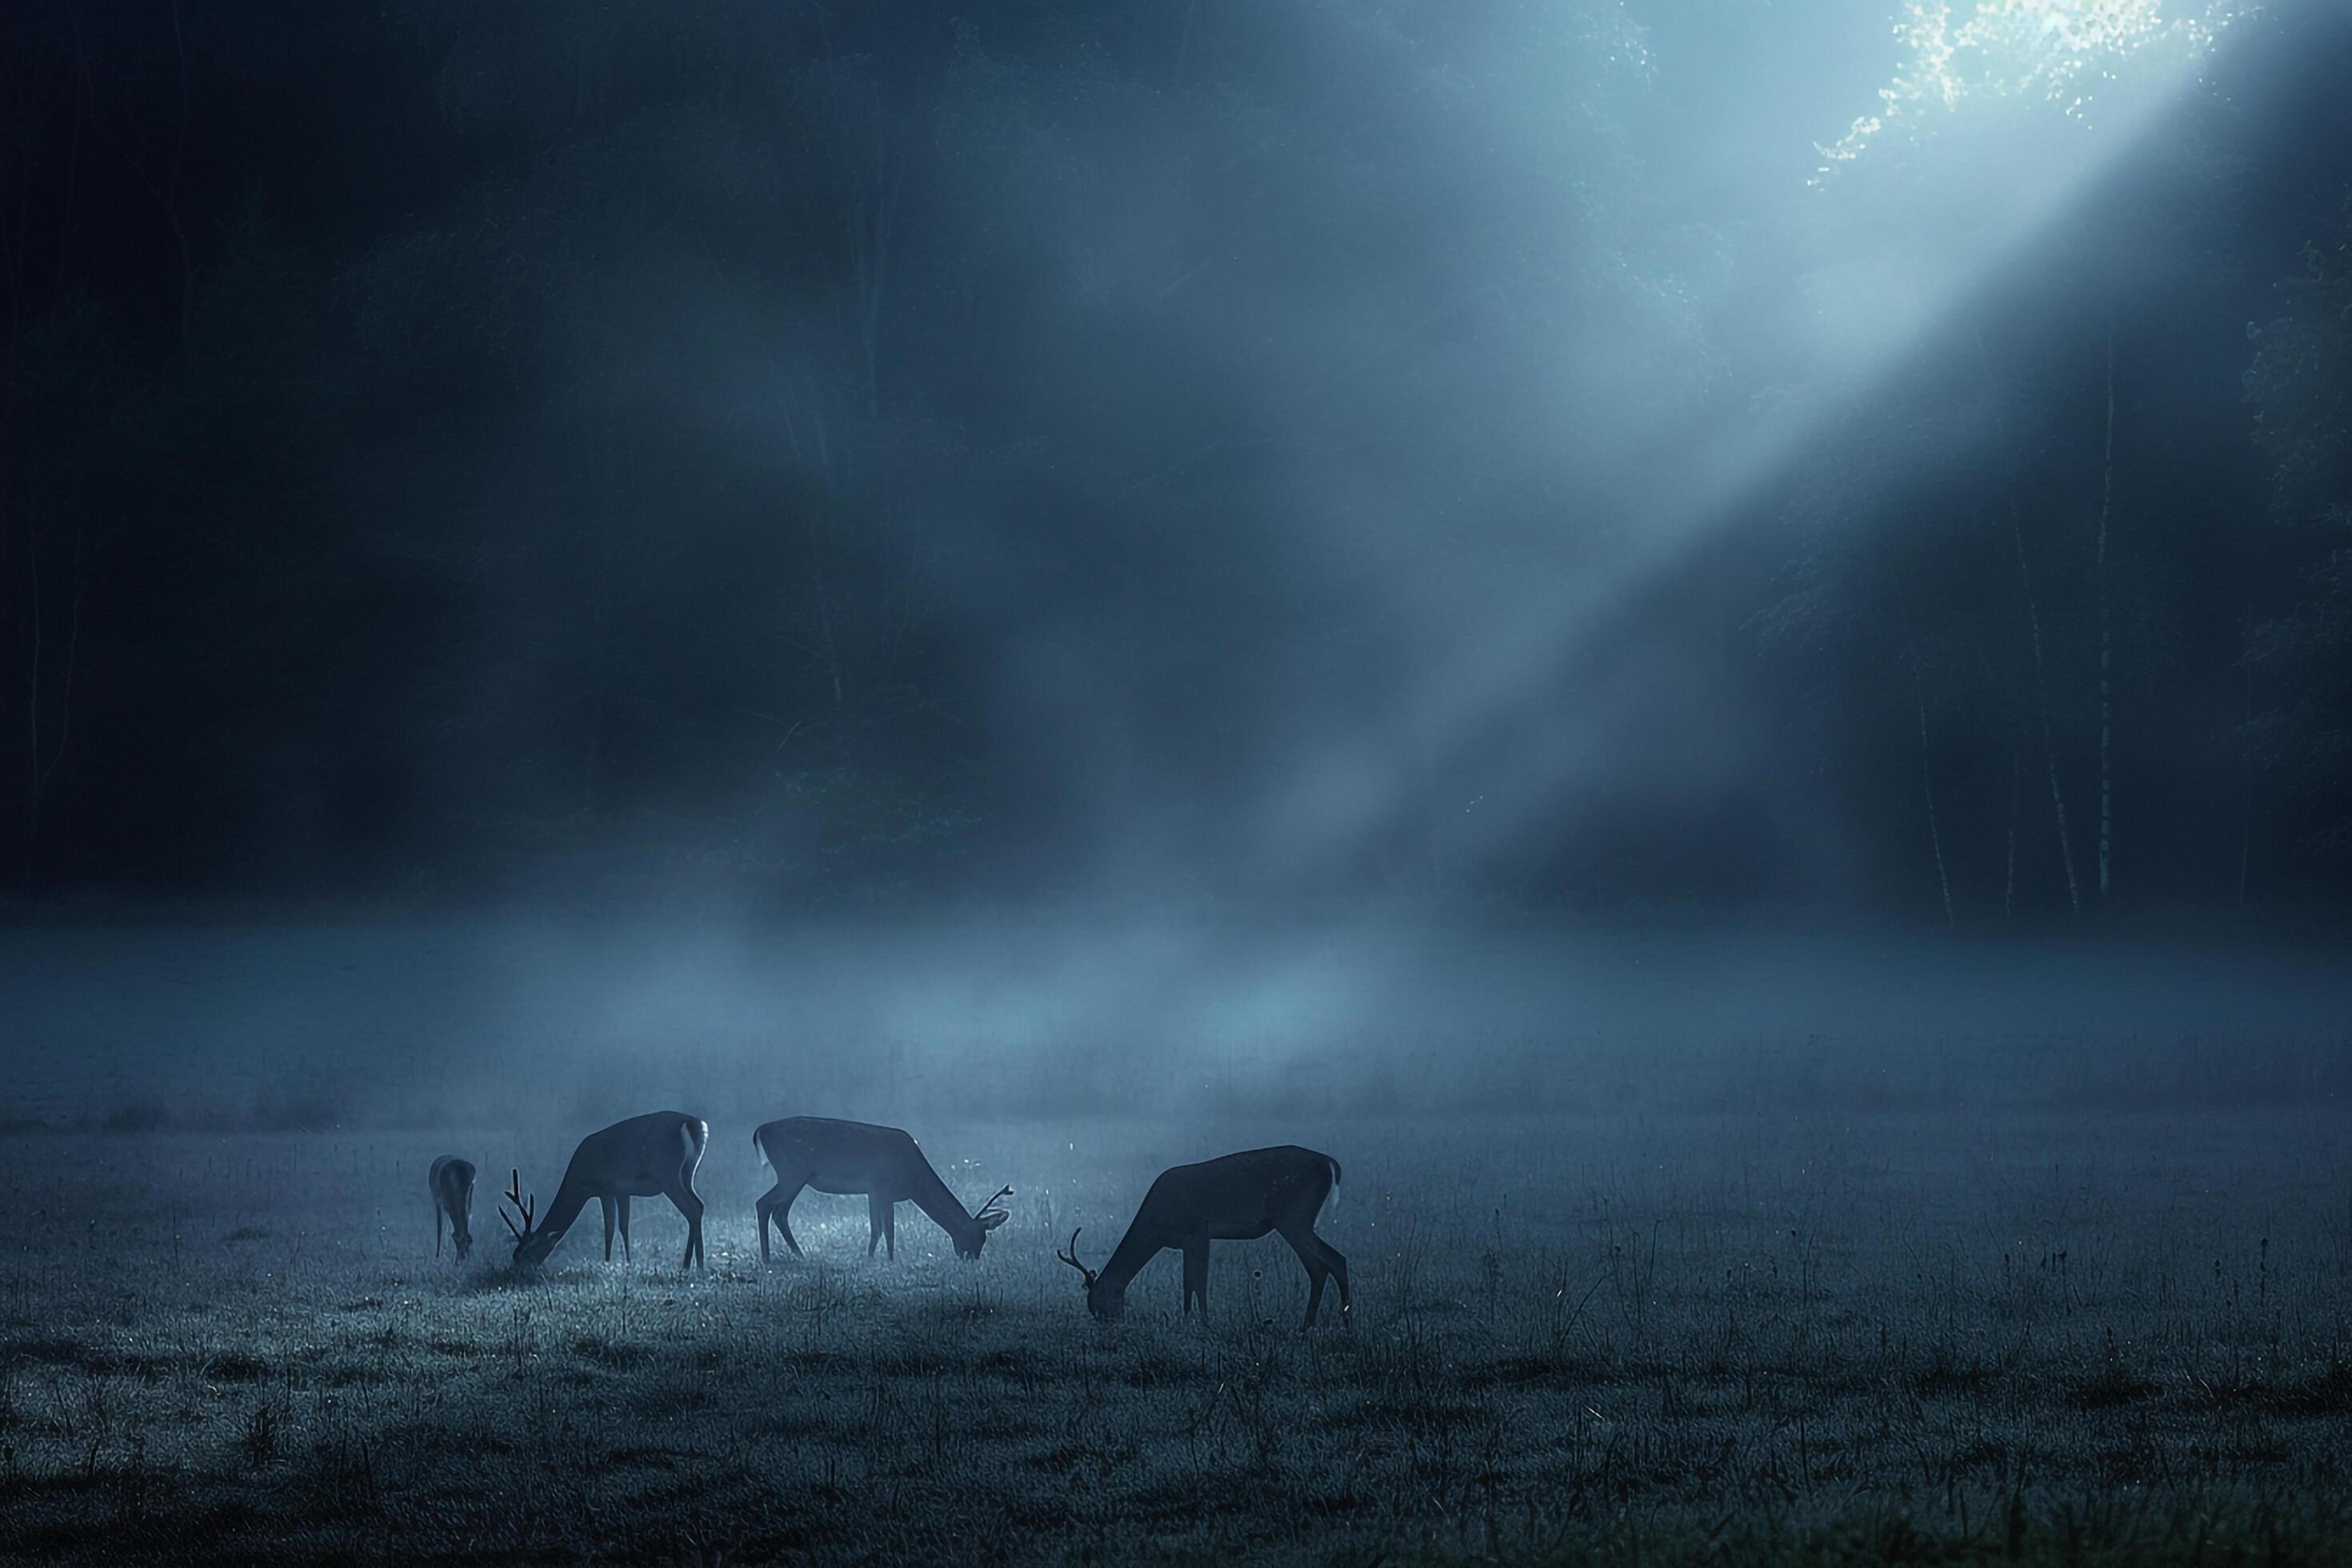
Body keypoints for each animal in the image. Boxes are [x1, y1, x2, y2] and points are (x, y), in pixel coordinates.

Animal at [430, 1151, 474, 1260]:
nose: (462, 1259)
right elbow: (441, 1227)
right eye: (457, 1243)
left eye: (469, 1243)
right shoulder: (438, 1201)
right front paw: (438, 1254)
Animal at [503, 1114, 706, 1278]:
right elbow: (623, 1227)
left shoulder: (606, 1188)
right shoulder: (621, 1191)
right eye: (515, 1253)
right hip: (688, 1173)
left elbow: (610, 1228)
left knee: (692, 1208)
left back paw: (691, 1265)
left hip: (668, 1174)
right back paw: (695, 1265)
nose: (516, 1272)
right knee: (699, 1205)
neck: (581, 1181)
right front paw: (626, 1263)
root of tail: (694, 1124)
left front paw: (609, 1264)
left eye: (528, 1251)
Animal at [752, 1114, 1011, 1260]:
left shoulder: (875, 1192)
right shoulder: (883, 1187)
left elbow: (878, 1229)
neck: (914, 1181)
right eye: (977, 1237)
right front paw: (888, 1261)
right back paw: (767, 1258)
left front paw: (871, 1260)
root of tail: (760, 1131)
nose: (971, 1259)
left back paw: (798, 1255)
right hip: (792, 1172)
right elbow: (887, 1231)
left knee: (779, 1212)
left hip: (794, 1175)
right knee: (765, 1204)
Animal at [1058, 1147, 1354, 1335]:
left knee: (1323, 1263)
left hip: (1293, 1216)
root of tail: (1331, 1165)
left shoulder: (1198, 1230)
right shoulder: (1187, 1241)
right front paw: (1189, 1319)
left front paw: (1204, 1322)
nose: (1113, 1324)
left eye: (1100, 1304)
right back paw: (1339, 1321)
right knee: (1332, 1261)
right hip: (1297, 1219)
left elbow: (1199, 1281)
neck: (1156, 1226)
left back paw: (1313, 1324)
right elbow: (1188, 1282)